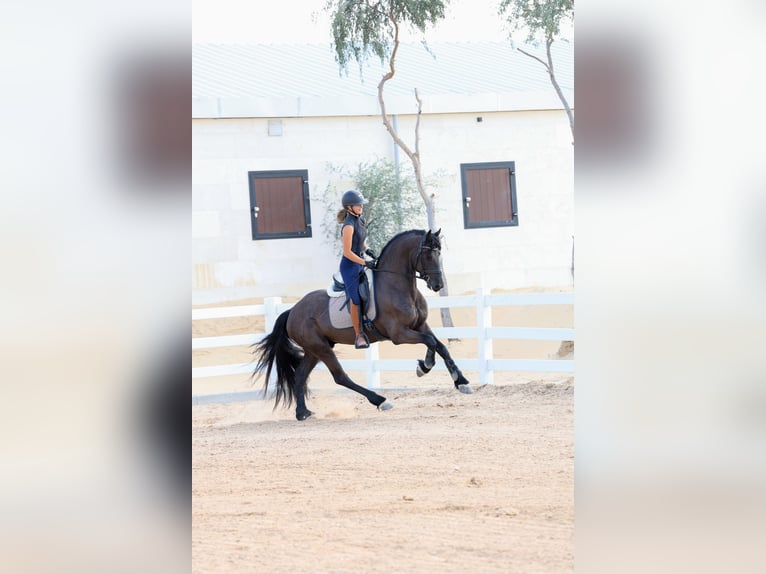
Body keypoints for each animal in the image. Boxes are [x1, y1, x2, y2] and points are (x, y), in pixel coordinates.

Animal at [253, 229, 473, 420]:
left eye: (439, 253)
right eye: (427, 255)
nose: (438, 285)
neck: (398, 287)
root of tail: (292, 311)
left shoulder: (420, 326)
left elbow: (440, 345)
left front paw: (458, 380)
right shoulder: (399, 334)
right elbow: (431, 342)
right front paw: (427, 367)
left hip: (314, 349)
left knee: (300, 375)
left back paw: (303, 413)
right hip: (321, 347)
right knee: (340, 377)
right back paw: (380, 400)